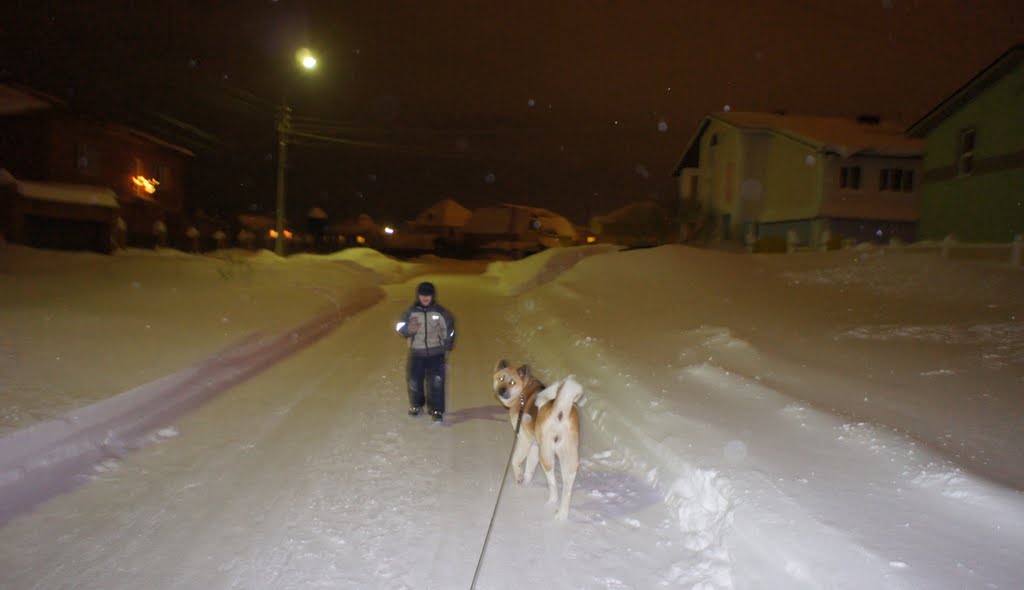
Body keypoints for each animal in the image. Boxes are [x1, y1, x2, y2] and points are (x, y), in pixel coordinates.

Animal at [493, 360, 585, 520]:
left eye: (512, 382)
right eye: (501, 378)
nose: (502, 390)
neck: (523, 392)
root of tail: (560, 411)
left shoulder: (524, 440)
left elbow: (516, 460)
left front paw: (519, 478)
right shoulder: (535, 445)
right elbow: (530, 467)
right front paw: (526, 482)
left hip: (546, 454)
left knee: (553, 482)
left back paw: (551, 502)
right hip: (568, 456)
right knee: (567, 485)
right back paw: (562, 514)